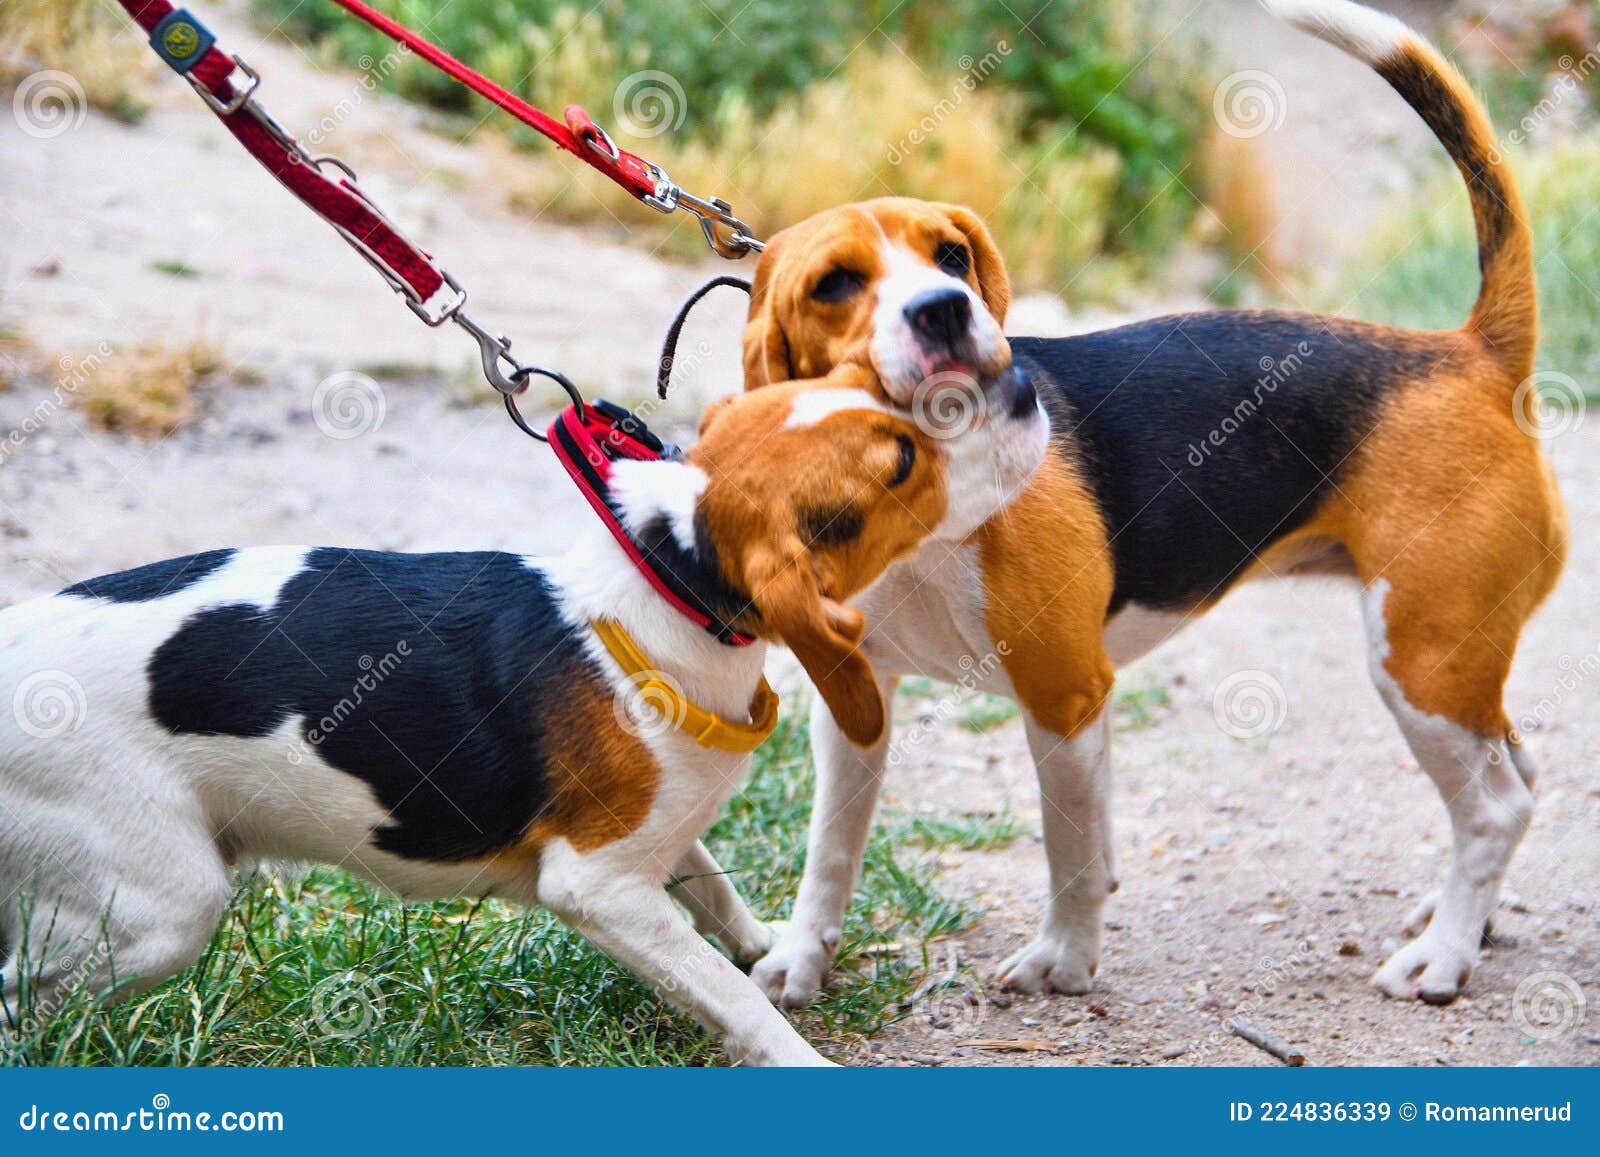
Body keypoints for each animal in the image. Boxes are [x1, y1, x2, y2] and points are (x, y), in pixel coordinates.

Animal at [745, 0, 1561, 1011]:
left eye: (952, 257)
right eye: (834, 283)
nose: (945, 308)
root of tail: (1471, 351)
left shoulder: (1063, 695)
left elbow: (1068, 851)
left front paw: (1063, 958)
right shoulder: (855, 703)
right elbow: (832, 851)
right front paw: (800, 958)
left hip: (1423, 661)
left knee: (1497, 803)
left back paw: (1441, 955)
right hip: (1456, 664)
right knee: (1515, 771)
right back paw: (1461, 920)